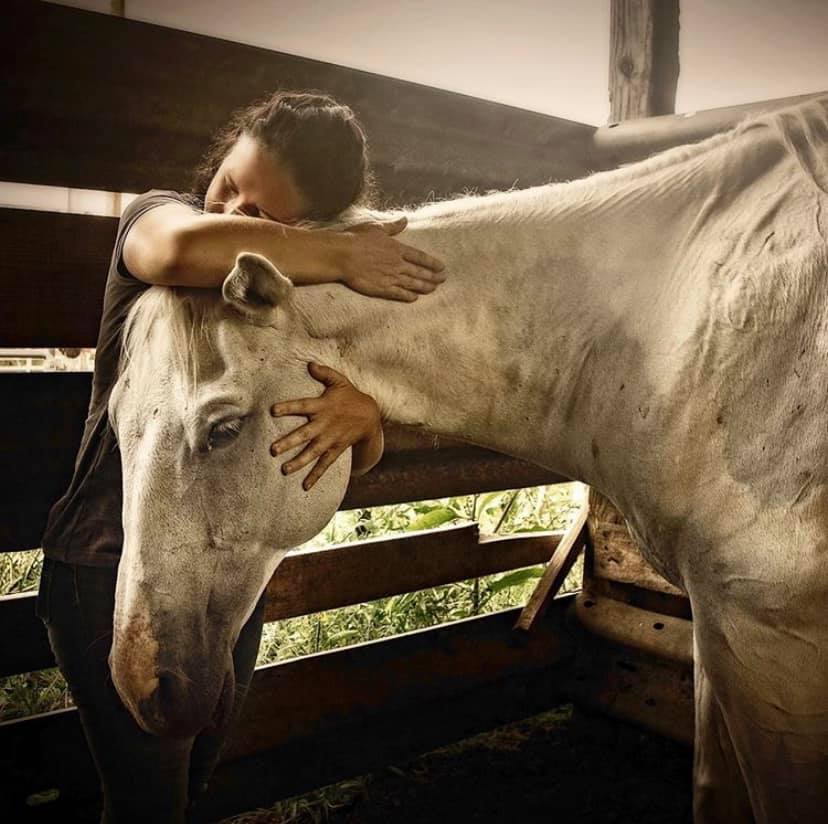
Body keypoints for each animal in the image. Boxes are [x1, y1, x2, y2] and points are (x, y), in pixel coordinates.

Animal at [108, 95, 828, 822]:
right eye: (114, 424)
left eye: (223, 430)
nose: (142, 686)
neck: (683, 327)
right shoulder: (721, 631)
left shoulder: (770, 638)